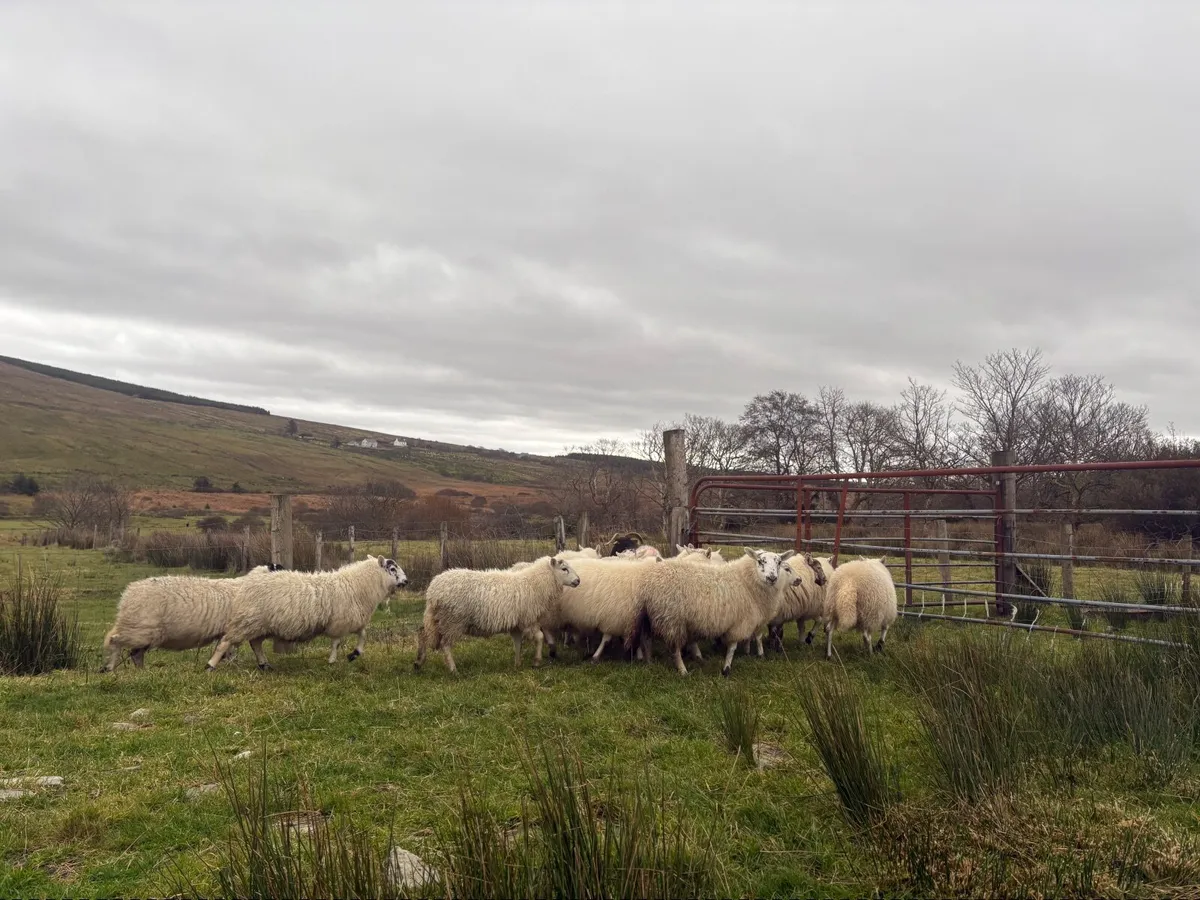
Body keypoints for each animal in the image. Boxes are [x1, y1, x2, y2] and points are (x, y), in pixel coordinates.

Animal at [101, 564, 284, 672]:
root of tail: (128, 593)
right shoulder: (243, 625)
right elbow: (241, 646)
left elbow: (240, 647)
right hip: (140, 629)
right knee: (116, 641)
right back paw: (109, 668)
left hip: (144, 631)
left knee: (135, 653)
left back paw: (142, 672)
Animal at [204, 556, 407, 670]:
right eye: (392, 568)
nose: (406, 581)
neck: (357, 584)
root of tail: (249, 581)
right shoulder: (340, 622)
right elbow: (337, 642)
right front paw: (333, 660)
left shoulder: (352, 620)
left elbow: (363, 635)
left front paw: (354, 654)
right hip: (248, 620)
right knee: (225, 642)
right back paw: (210, 665)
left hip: (259, 624)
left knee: (255, 644)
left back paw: (264, 665)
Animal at [413, 556, 581, 674]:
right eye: (564, 569)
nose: (578, 581)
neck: (535, 582)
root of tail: (433, 591)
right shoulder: (528, 619)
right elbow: (539, 637)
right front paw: (536, 661)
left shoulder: (516, 624)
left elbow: (517, 643)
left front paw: (517, 664)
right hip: (453, 620)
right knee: (445, 645)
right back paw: (453, 670)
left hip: (436, 619)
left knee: (422, 634)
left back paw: (419, 662)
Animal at [636, 548, 800, 676]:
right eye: (760, 561)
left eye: (779, 562)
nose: (772, 578)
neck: (746, 581)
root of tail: (652, 577)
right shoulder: (740, 622)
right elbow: (732, 647)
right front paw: (726, 669)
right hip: (671, 619)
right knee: (674, 649)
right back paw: (682, 670)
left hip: (653, 617)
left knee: (646, 641)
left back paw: (649, 663)